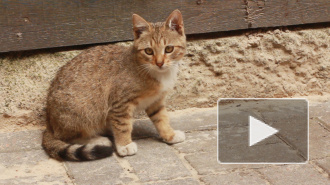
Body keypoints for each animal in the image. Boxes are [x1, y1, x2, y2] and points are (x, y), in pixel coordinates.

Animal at [42, 9, 186, 160]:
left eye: (169, 49)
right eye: (149, 51)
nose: (159, 63)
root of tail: (49, 122)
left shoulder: (156, 101)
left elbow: (161, 118)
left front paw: (170, 134)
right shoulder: (120, 103)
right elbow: (123, 125)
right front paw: (124, 145)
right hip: (84, 110)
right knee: (66, 137)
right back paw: (96, 139)